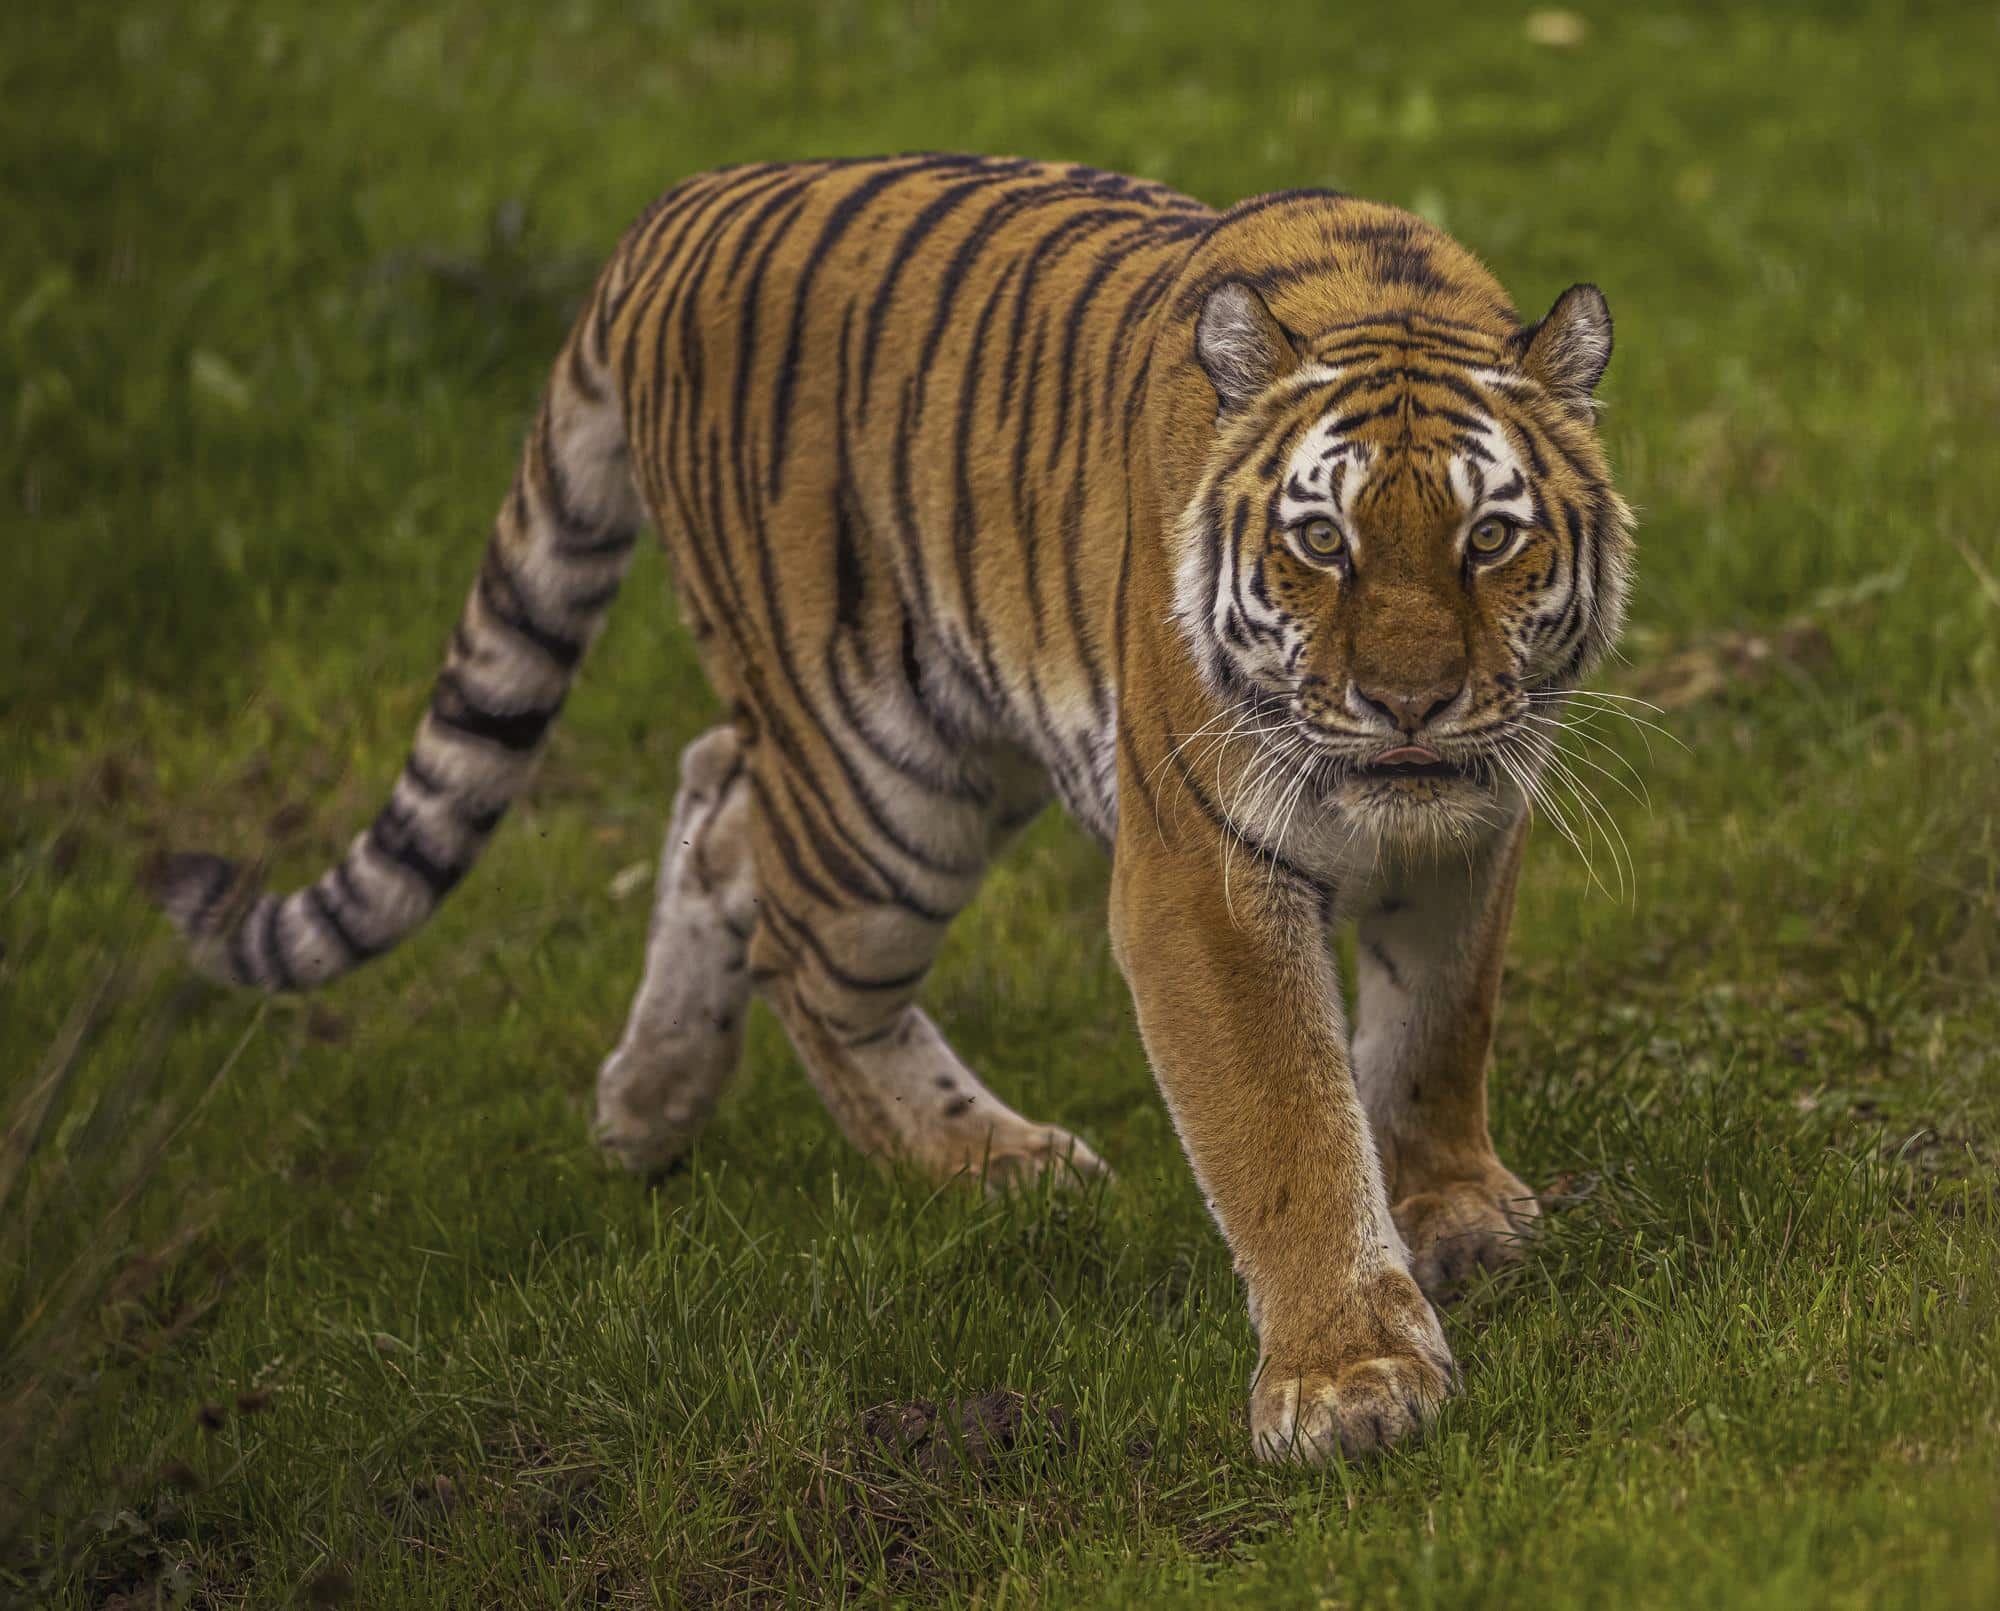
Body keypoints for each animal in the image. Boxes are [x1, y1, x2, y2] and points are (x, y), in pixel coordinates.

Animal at [155, 153, 1634, 1464]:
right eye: (1321, 540)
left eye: (1488, 539)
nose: (1407, 703)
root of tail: (681, 205)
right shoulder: (1201, 874)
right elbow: (1282, 1121)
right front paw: (1349, 1378)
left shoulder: (1472, 825)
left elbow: (1437, 1025)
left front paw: (1452, 1208)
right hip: (882, 784)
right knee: (802, 951)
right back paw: (993, 1161)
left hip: (944, 742)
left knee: (718, 796)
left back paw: (649, 1105)